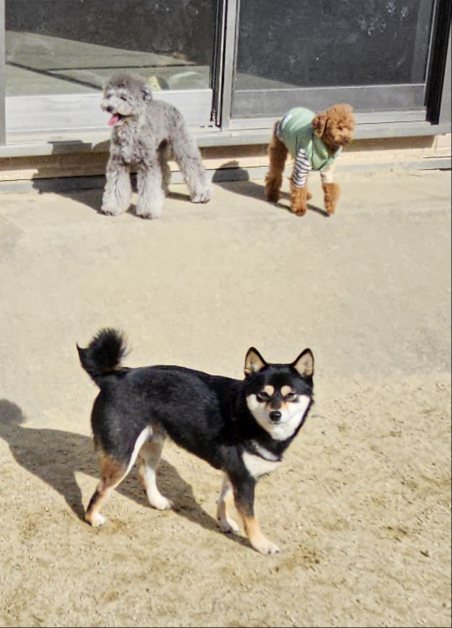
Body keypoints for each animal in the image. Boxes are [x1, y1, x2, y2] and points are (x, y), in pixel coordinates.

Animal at [77, 328, 315, 555]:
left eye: (291, 395)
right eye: (263, 395)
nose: (275, 414)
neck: (248, 418)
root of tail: (113, 378)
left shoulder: (234, 472)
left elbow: (224, 499)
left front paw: (224, 523)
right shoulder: (244, 480)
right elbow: (251, 519)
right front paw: (262, 544)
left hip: (152, 444)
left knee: (145, 473)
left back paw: (157, 501)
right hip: (121, 455)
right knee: (101, 489)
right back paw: (93, 518)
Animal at [100, 72, 211, 219]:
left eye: (123, 97)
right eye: (109, 96)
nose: (109, 107)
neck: (131, 130)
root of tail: (168, 104)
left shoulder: (147, 163)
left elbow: (149, 187)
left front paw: (148, 211)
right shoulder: (118, 162)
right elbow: (116, 187)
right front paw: (112, 207)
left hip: (180, 142)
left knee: (193, 166)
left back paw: (202, 194)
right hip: (159, 150)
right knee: (165, 169)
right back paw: (163, 190)